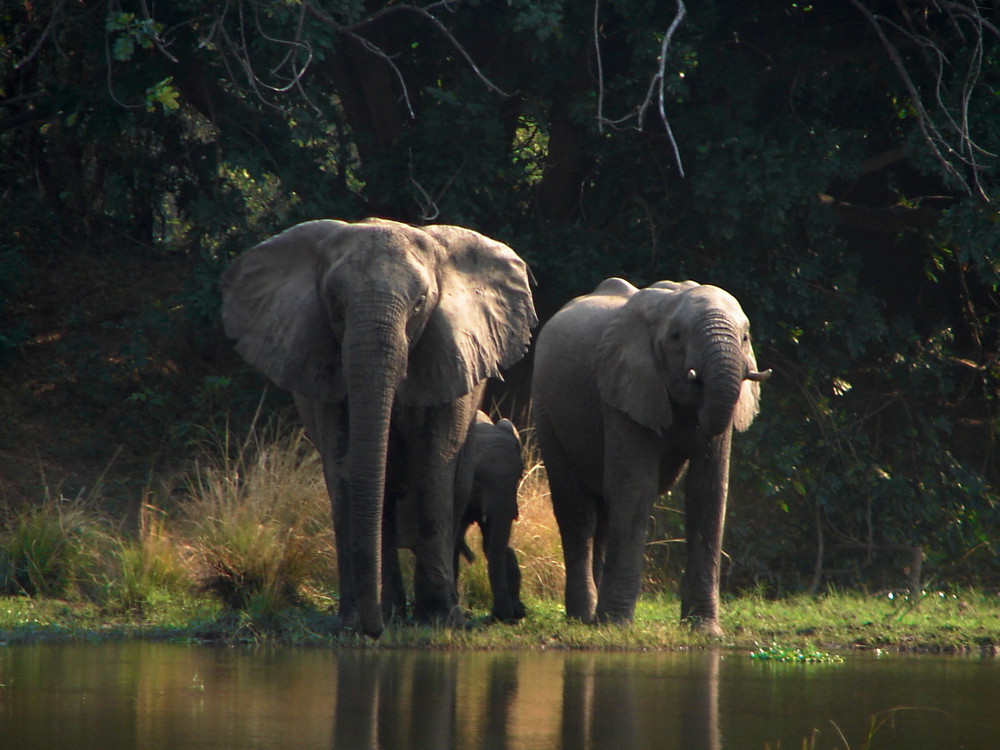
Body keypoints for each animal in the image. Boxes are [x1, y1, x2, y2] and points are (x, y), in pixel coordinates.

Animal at [536, 276, 768, 636]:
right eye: (676, 337)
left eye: (745, 337)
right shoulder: (625, 388)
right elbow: (635, 489)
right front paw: (616, 626)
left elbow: (707, 491)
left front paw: (704, 630)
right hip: (547, 411)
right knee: (577, 510)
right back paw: (585, 617)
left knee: (604, 511)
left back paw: (593, 618)